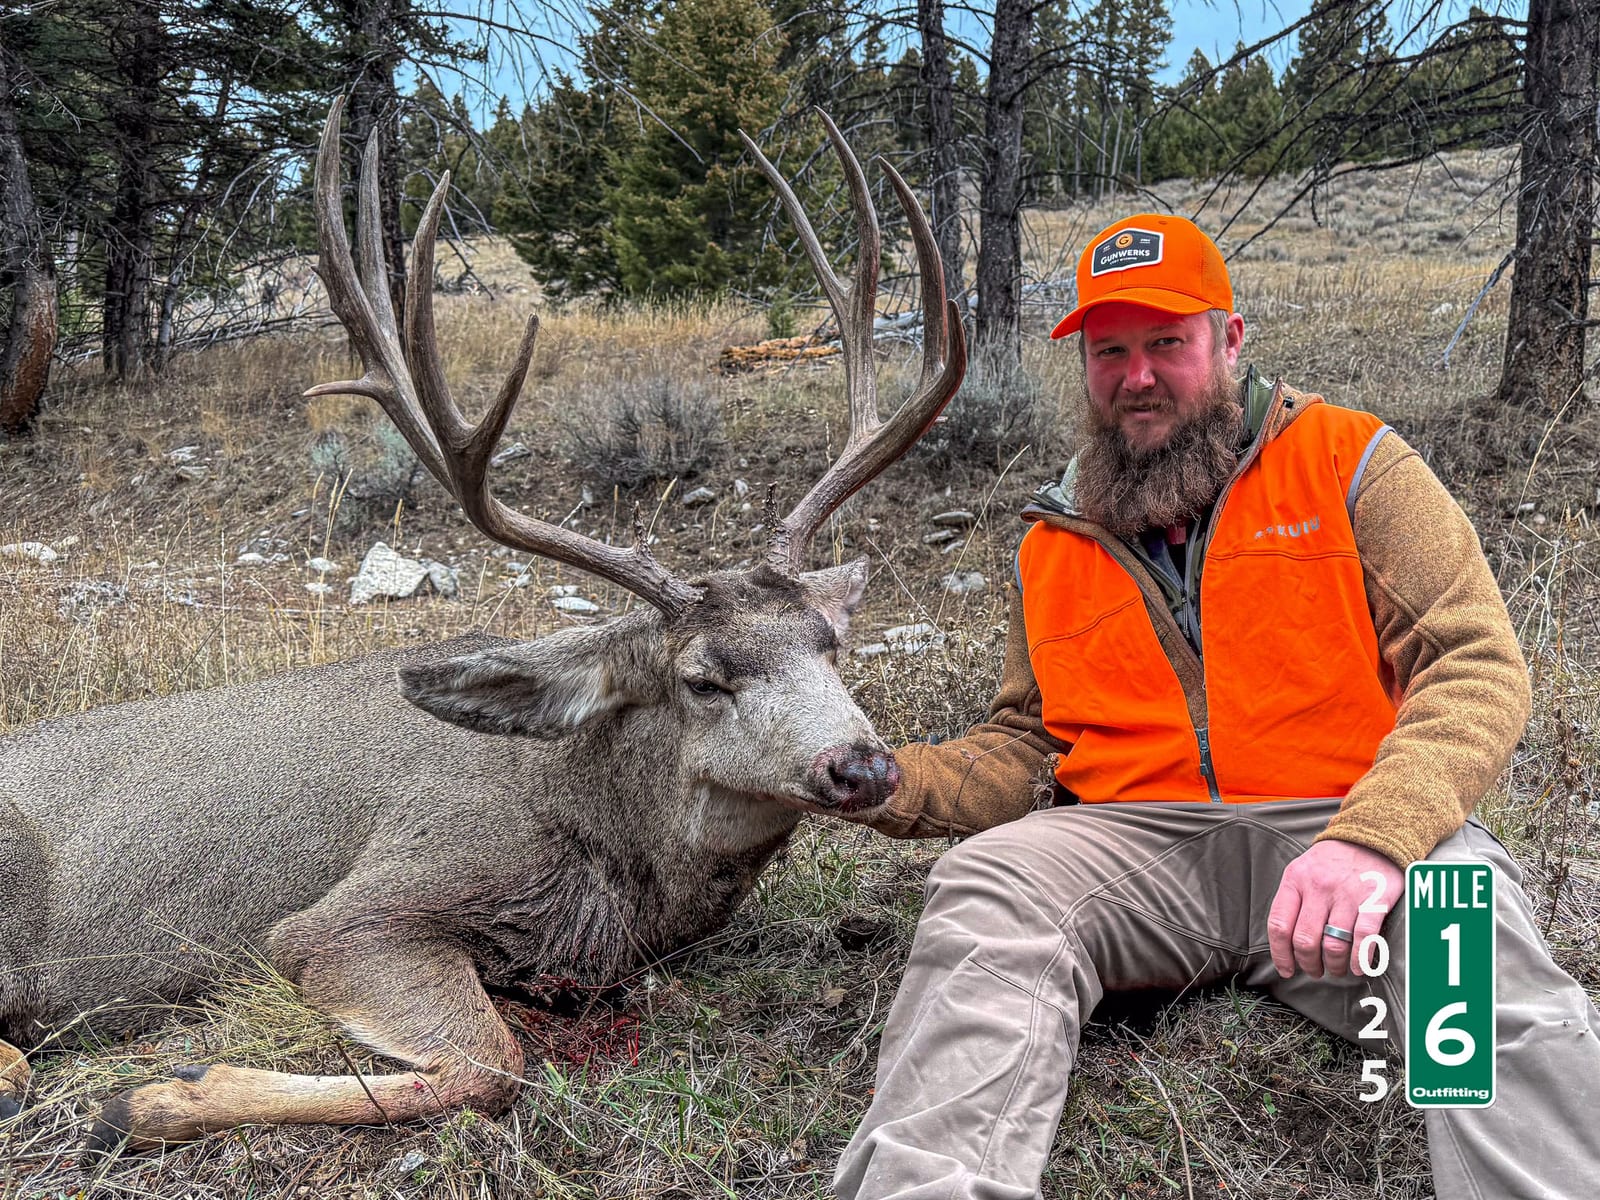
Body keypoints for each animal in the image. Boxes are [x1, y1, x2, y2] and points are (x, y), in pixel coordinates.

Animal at [0, 101, 963, 1154]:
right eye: (703, 678)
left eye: (830, 644)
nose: (862, 766)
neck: (610, 849)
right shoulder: (359, 907)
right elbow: (488, 1064)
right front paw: (152, 1094)